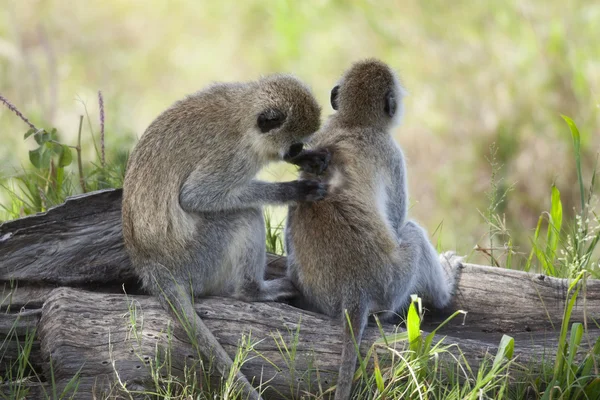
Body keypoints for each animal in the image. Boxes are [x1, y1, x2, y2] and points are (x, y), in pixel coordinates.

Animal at [120, 73, 330, 398]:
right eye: (293, 146)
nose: (296, 153)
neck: (244, 113)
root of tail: (150, 266)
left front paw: (310, 161)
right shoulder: (233, 157)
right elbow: (195, 196)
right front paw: (293, 190)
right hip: (200, 259)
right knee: (245, 215)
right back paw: (253, 291)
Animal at [284, 60, 462, 400]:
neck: (353, 123)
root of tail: (355, 292)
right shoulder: (392, 153)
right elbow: (397, 219)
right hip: (392, 287)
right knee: (413, 235)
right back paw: (445, 289)